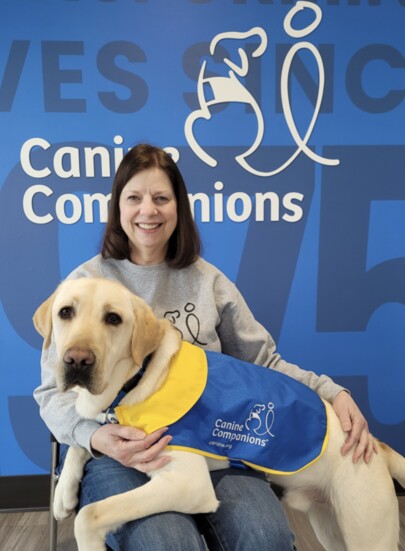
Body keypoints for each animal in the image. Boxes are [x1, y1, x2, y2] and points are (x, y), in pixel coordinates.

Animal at [34, 280, 404, 551]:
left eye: (113, 318)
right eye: (65, 312)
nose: (77, 361)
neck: (139, 377)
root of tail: (376, 444)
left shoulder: (188, 484)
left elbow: (91, 513)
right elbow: (82, 443)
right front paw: (64, 492)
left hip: (367, 532)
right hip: (329, 527)